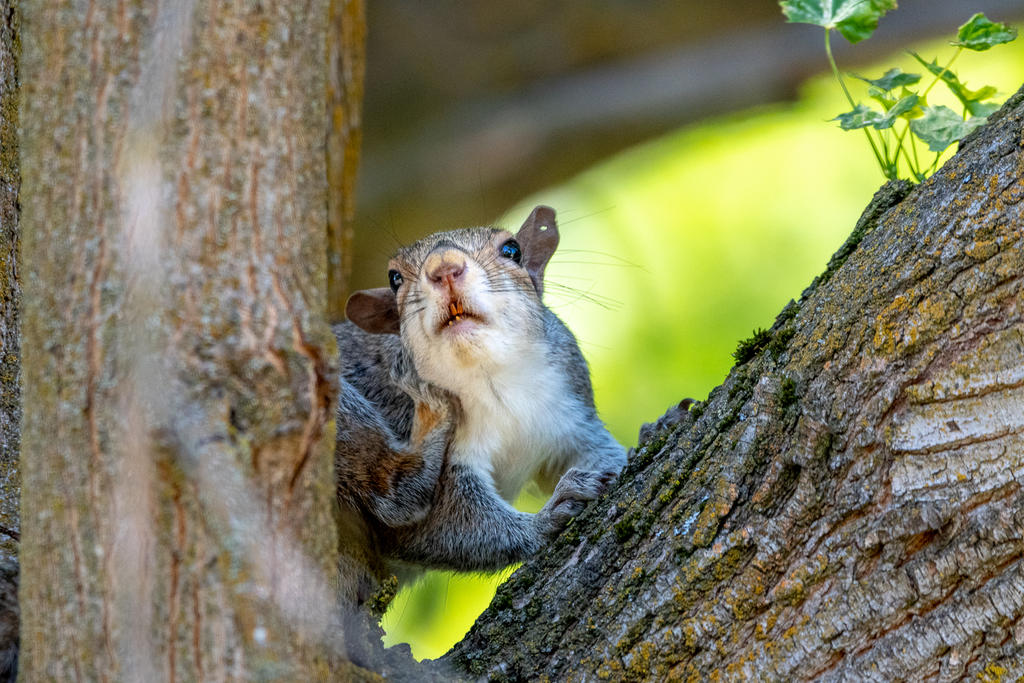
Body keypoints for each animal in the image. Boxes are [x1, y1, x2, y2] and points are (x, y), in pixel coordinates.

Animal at [334, 205, 626, 599]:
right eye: (394, 278)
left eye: (512, 250)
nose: (444, 267)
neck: (491, 378)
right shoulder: (401, 414)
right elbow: (449, 527)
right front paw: (548, 517)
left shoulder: (573, 406)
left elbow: (600, 454)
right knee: (394, 494)